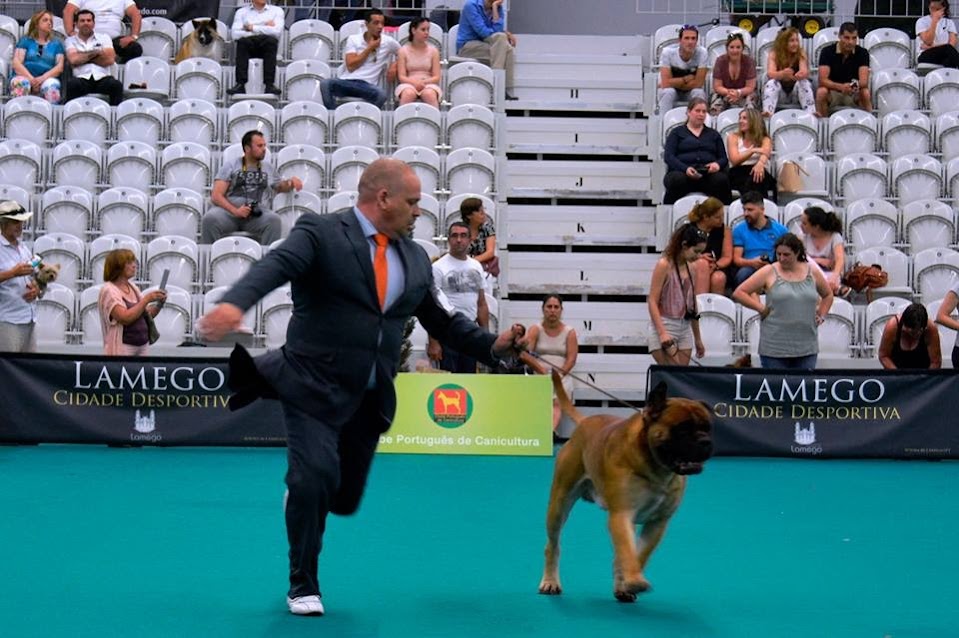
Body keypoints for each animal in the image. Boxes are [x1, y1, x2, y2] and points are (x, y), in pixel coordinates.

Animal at [540, 372, 712, 604]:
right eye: (682, 429)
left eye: (708, 427)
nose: (705, 441)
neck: (655, 467)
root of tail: (585, 422)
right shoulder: (622, 515)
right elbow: (628, 553)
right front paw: (634, 580)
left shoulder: (657, 523)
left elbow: (638, 554)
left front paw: (627, 581)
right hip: (559, 504)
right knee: (552, 546)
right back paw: (550, 582)